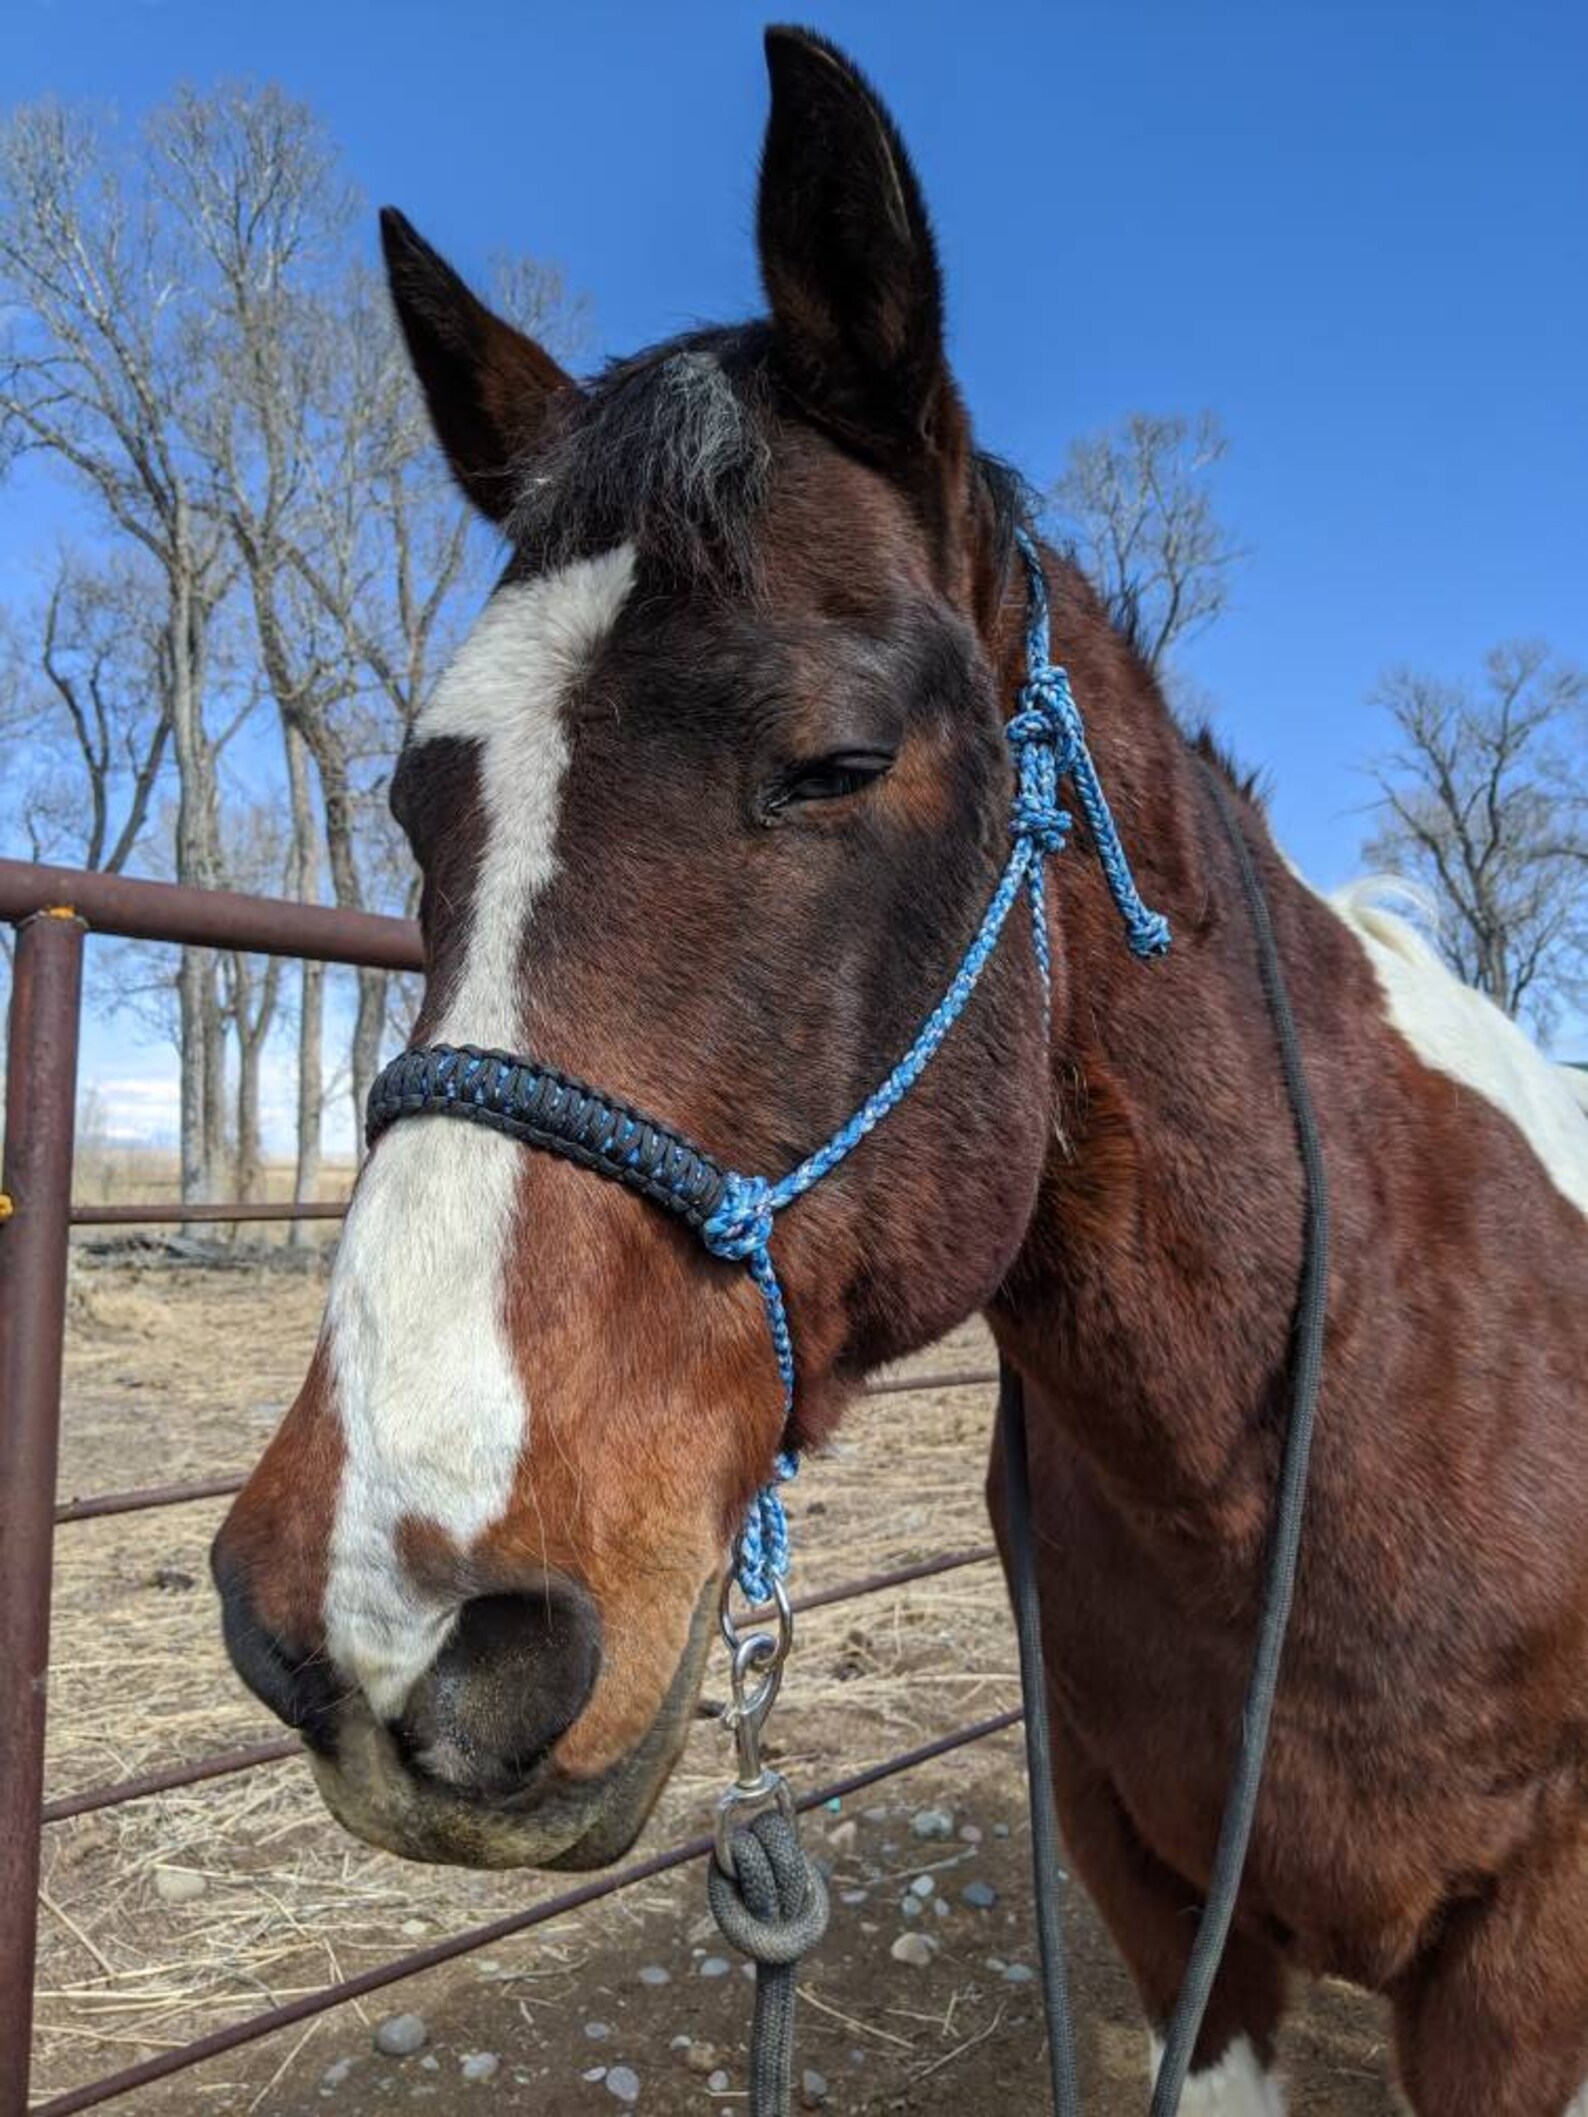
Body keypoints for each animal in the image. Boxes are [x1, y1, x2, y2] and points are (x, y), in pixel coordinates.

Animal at [211, 29, 1588, 2114]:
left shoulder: (1528, 1964)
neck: (1346, 1405)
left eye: (838, 761)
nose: (382, 1616)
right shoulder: (1167, 1898)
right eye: (414, 799)